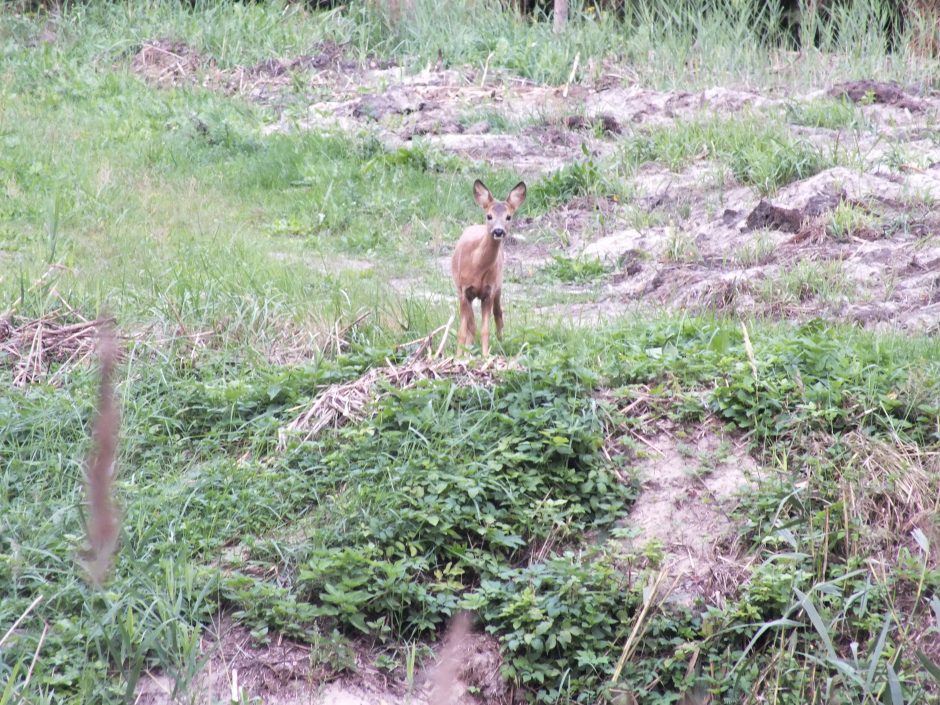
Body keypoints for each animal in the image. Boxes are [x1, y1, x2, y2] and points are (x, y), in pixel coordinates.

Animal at [450, 180, 524, 354]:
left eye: (508, 217)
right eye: (489, 216)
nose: (498, 231)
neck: (477, 267)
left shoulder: (489, 292)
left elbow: (485, 330)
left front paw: (485, 356)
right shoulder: (464, 291)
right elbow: (463, 330)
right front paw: (458, 356)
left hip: (499, 285)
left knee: (498, 313)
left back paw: (500, 342)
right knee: (471, 324)